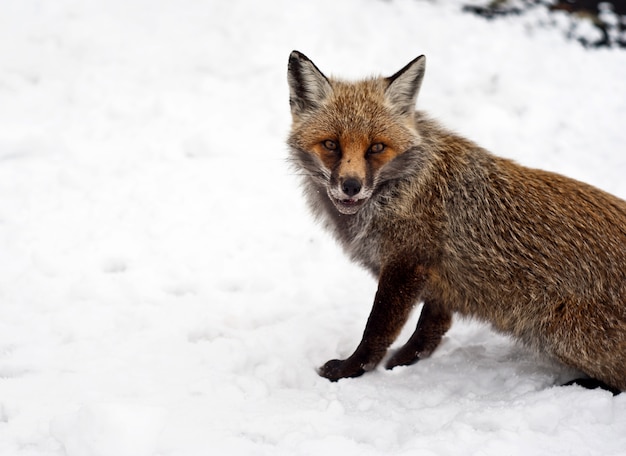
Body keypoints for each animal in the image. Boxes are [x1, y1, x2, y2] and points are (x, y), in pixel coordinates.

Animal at [286, 50, 624, 392]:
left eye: (376, 147)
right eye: (331, 145)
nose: (351, 186)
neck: (403, 190)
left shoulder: (407, 263)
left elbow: (377, 330)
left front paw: (350, 370)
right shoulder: (440, 274)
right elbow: (431, 327)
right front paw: (405, 361)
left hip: (562, 336)